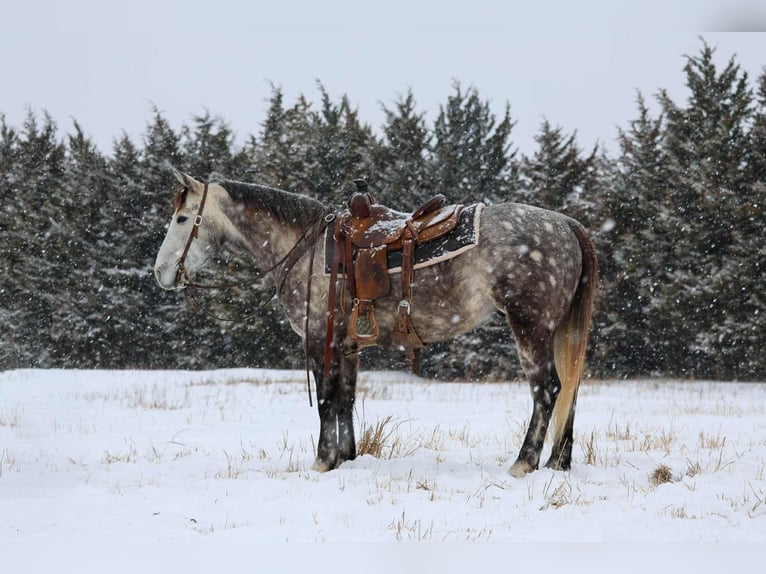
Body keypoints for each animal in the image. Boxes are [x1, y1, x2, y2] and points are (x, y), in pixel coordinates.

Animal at [154, 170, 598, 477]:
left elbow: (327, 400)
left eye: (182, 218)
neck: (305, 248)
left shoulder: (320, 341)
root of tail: (565, 224)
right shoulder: (348, 346)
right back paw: (558, 463)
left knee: (547, 390)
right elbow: (347, 400)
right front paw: (346, 459)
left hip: (530, 327)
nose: (160, 273)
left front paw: (321, 461)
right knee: (570, 389)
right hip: (557, 330)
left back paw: (524, 463)